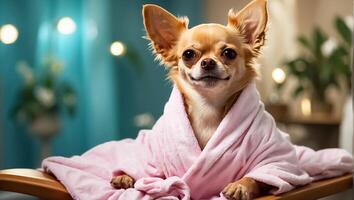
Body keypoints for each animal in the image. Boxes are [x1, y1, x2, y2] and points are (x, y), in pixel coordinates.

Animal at [112, 0, 270, 200]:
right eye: (188, 54)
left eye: (229, 53)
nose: (208, 62)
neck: (208, 106)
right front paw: (127, 176)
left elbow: (260, 175)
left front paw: (240, 185)